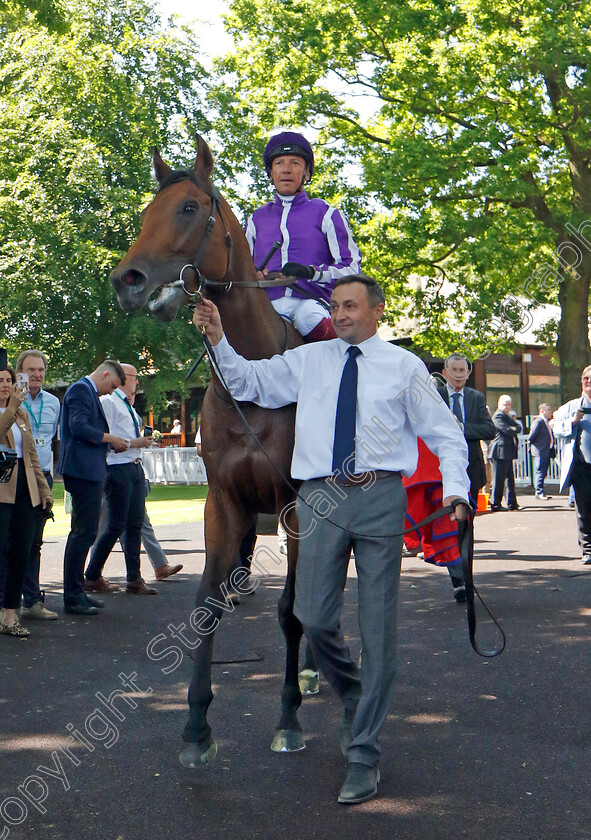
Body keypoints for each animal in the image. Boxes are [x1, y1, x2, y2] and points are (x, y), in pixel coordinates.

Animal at [109, 136, 310, 768]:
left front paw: (288, 718)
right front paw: (196, 726)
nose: (127, 280)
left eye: (190, 208)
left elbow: (291, 609)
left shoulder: (296, 507)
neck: (258, 379)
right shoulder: (223, 501)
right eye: (146, 212)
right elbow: (204, 607)